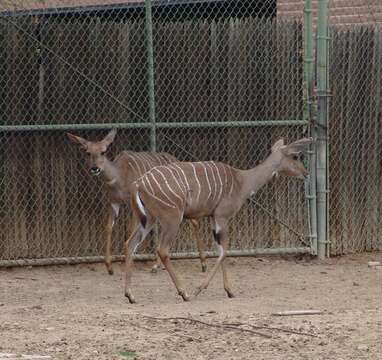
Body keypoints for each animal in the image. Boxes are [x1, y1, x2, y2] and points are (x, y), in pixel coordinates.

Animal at [67, 130, 207, 276]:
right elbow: (108, 227)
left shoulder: (132, 204)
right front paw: (109, 267)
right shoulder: (114, 202)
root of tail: (177, 160)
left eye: (103, 151)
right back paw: (157, 266)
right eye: (87, 152)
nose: (95, 168)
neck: (118, 177)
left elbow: (130, 229)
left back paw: (202, 264)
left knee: (194, 222)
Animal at [123, 138, 314, 304]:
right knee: (162, 250)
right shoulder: (222, 216)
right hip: (172, 218)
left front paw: (229, 291)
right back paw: (184, 293)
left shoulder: (213, 218)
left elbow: (220, 250)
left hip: (148, 218)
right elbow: (224, 251)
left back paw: (130, 295)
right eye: (295, 156)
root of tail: (138, 184)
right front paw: (200, 289)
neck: (243, 181)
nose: (306, 173)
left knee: (130, 243)